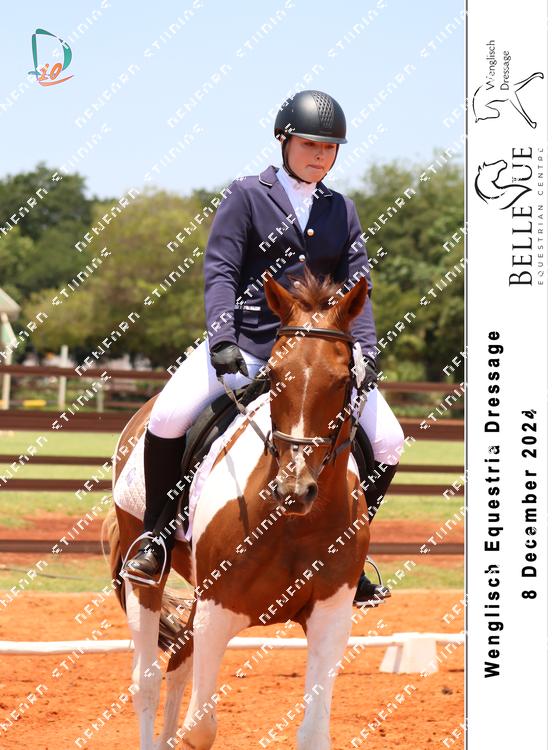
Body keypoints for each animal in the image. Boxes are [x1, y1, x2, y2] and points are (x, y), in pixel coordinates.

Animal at [103, 270, 373, 749]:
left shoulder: (331, 615)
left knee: (178, 664)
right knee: (147, 680)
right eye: (275, 374)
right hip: (145, 576)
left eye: (343, 379)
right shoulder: (217, 610)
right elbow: (200, 728)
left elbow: (313, 733)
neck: (292, 525)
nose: (294, 489)